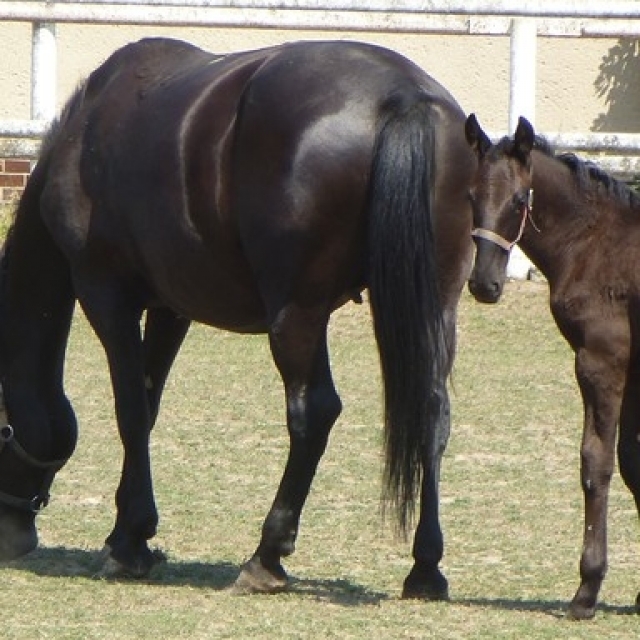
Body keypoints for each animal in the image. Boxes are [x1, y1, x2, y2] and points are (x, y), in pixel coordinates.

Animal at [0, 37, 476, 596]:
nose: (11, 535)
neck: (89, 129)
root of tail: (401, 94)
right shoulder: (170, 307)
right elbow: (148, 402)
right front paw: (133, 533)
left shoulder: (106, 295)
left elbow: (131, 412)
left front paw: (126, 543)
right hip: (434, 307)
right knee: (432, 412)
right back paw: (425, 568)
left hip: (296, 314)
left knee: (313, 413)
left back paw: (265, 556)